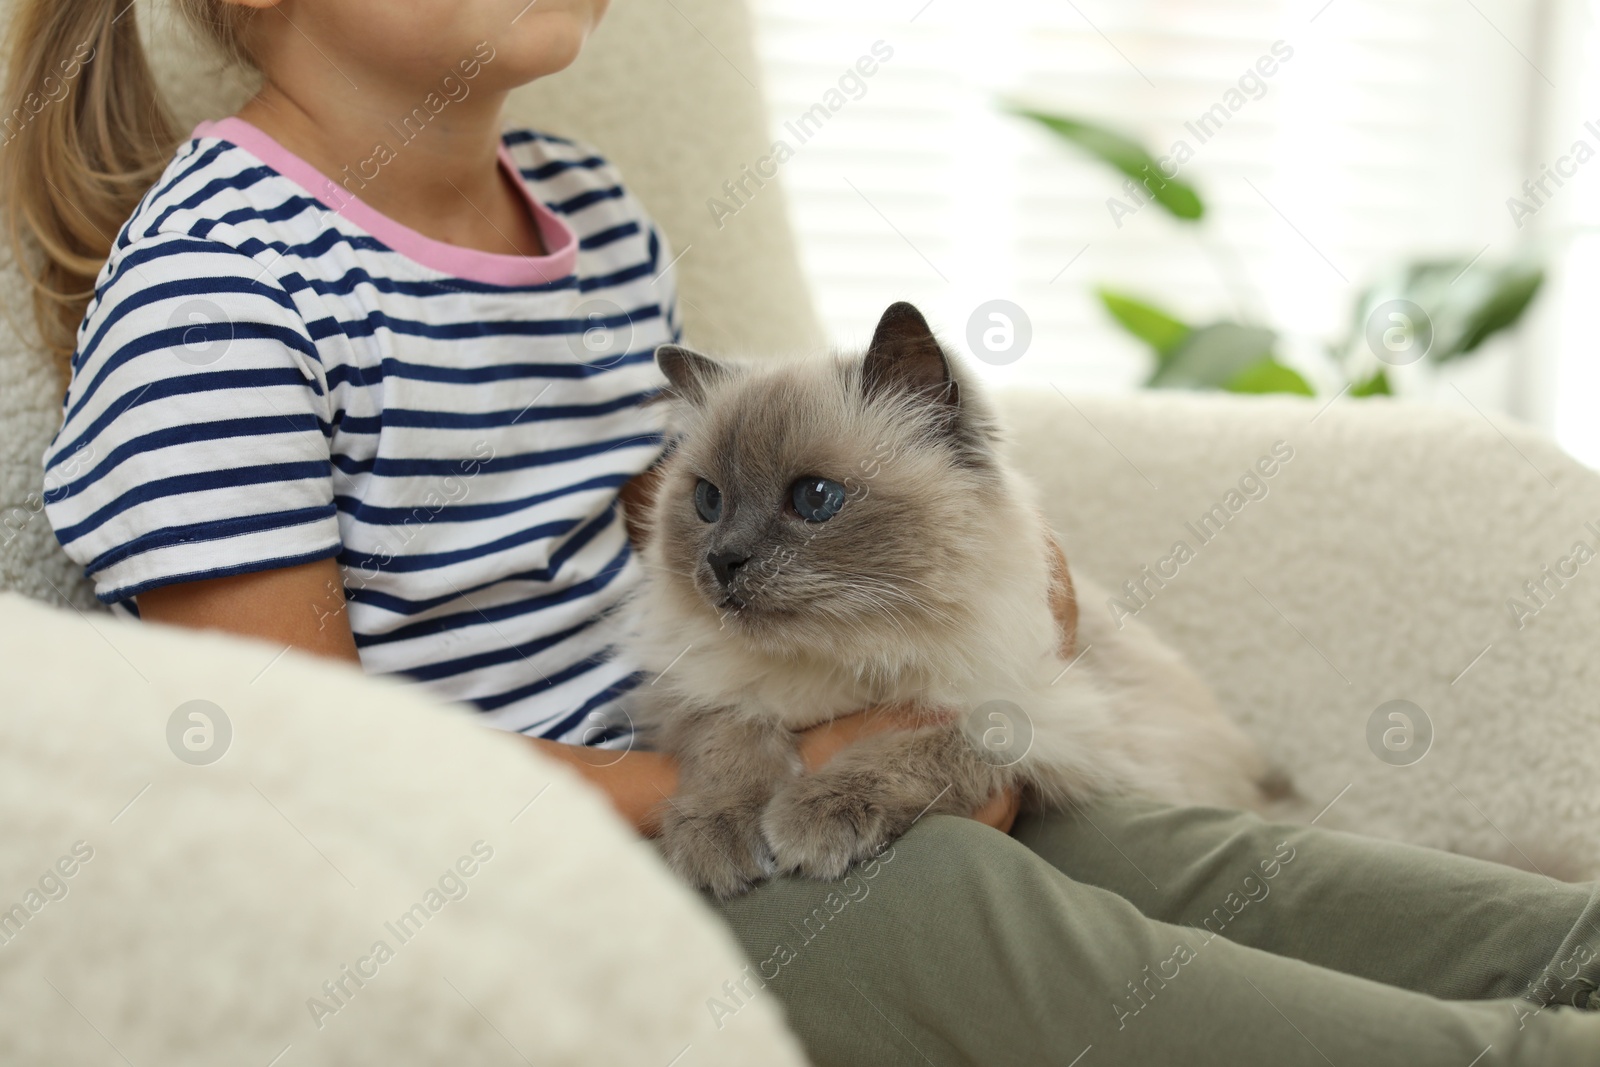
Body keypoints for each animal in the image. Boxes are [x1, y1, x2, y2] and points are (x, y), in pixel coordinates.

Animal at [617, 302, 1280, 902]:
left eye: (815, 497)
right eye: (708, 501)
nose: (722, 561)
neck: (844, 657)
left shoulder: (1035, 720)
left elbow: (916, 749)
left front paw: (811, 818)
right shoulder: (695, 691)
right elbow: (729, 743)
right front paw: (716, 837)